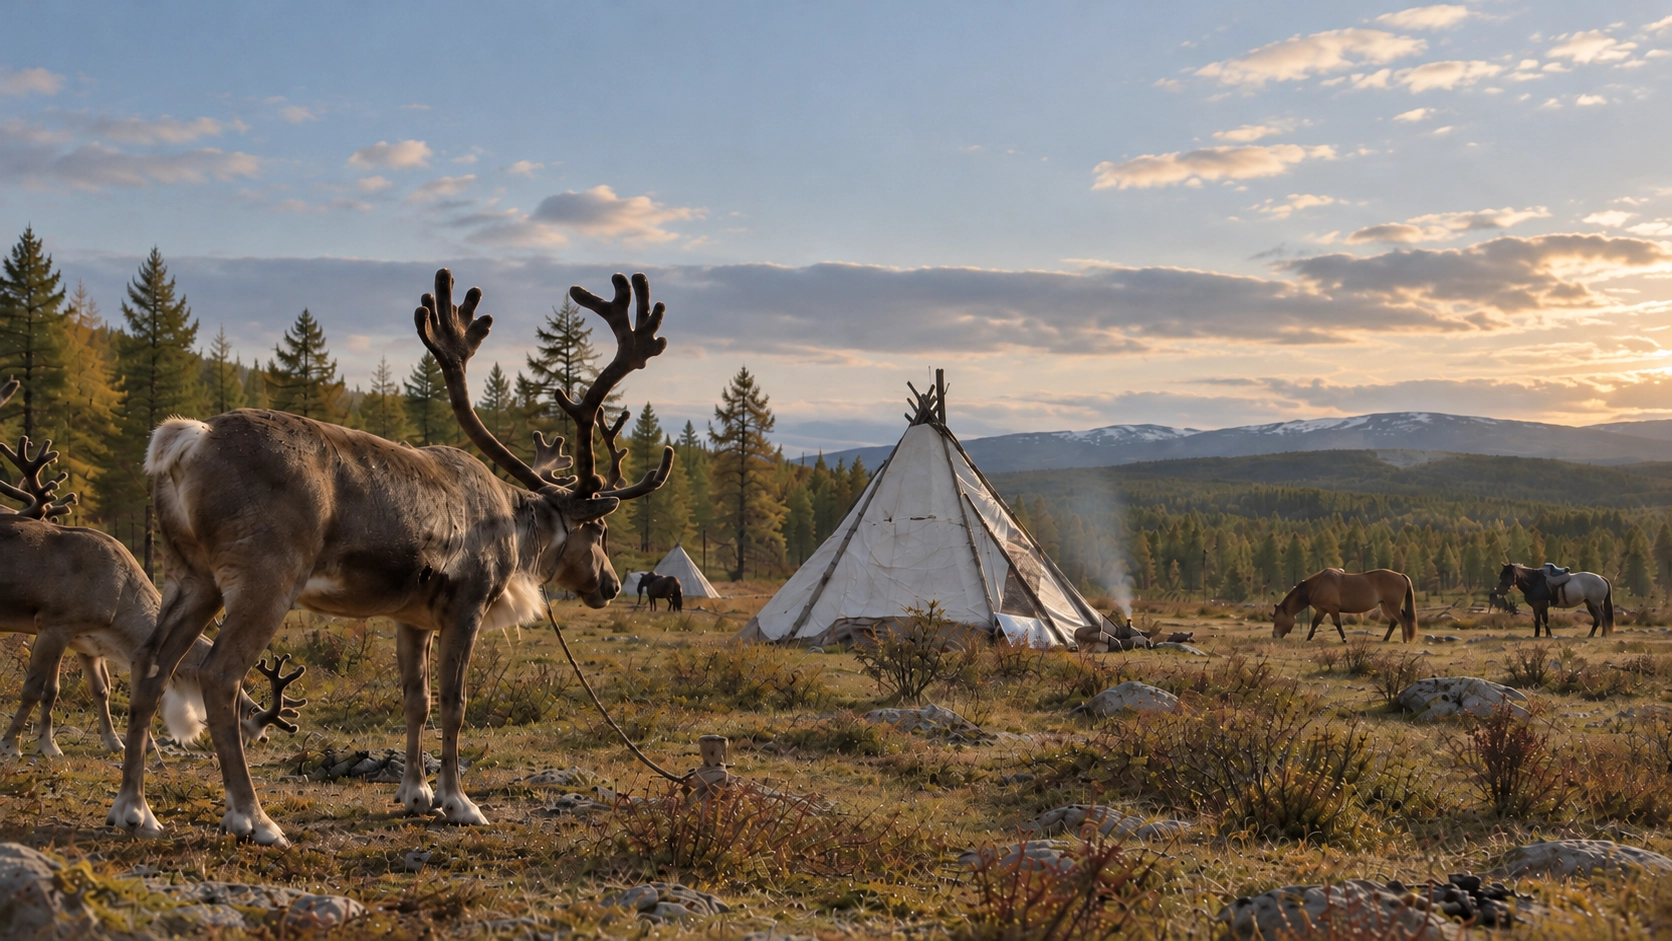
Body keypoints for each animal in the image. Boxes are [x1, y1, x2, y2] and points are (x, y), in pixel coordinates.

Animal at [0, 379, 305, 757]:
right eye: (249, 719)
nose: (255, 742)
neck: (119, 608)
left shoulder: (85, 642)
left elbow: (94, 690)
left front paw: (109, 741)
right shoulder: (54, 625)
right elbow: (35, 689)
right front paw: (14, 744)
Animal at [108, 269, 674, 848]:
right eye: (599, 529)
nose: (610, 585)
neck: (515, 530)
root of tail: (187, 441)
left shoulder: (412, 618)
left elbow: (414, 700)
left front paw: (415, 793)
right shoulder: (467, 605)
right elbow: (454, 702)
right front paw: (458, 801)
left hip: (191, 576)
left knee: (150, 665)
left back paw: (135, 809)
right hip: (266, 577)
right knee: (220, 675)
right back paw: (252, 817)